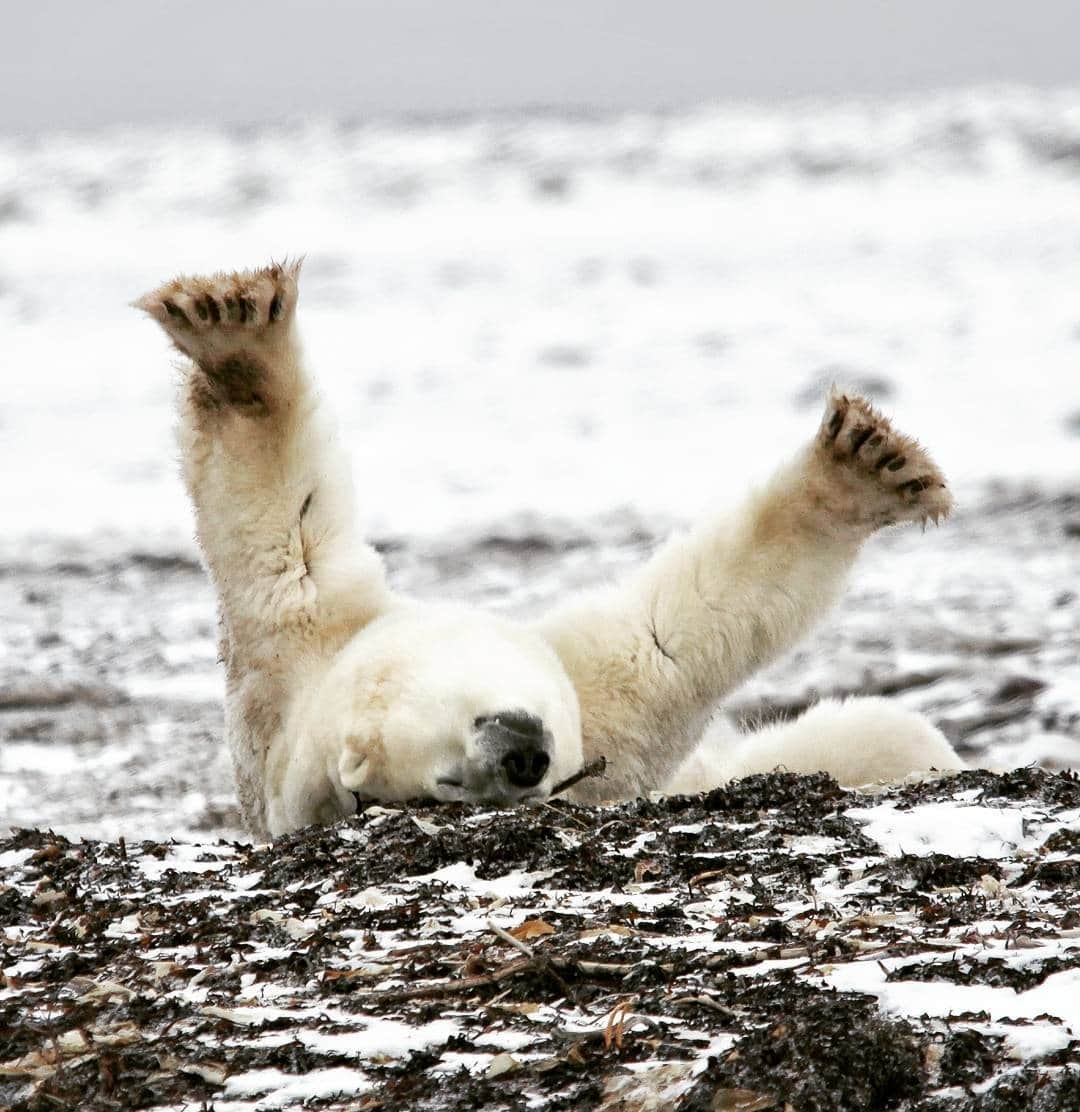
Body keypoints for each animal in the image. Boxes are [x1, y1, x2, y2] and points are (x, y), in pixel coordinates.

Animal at [135, 260, 961, 839]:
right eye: (448, 785)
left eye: (456, 735)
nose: (521, 757)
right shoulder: (612, 729)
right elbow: (686, 629)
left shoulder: (306, 626)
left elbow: (284, 517)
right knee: (887, 732)